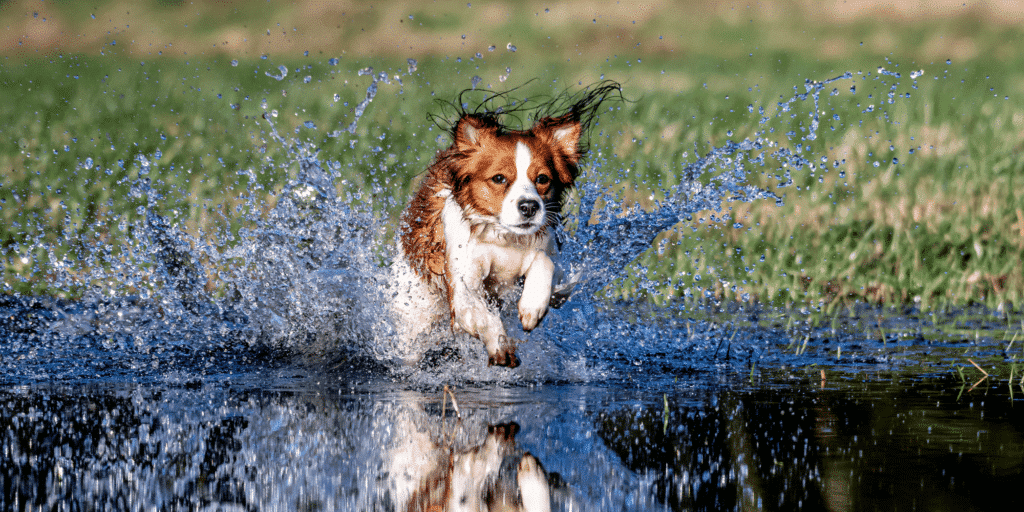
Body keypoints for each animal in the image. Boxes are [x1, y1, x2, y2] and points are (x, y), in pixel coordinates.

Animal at [391, 81, 618, 366]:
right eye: (499, 178)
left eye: (542, 179)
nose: (529, 206)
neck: (505, 239)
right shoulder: (463, 285)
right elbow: (482, 314)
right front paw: (500, 344)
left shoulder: (548, 253)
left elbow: (545, 263)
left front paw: (533, 305)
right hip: (416, 315)